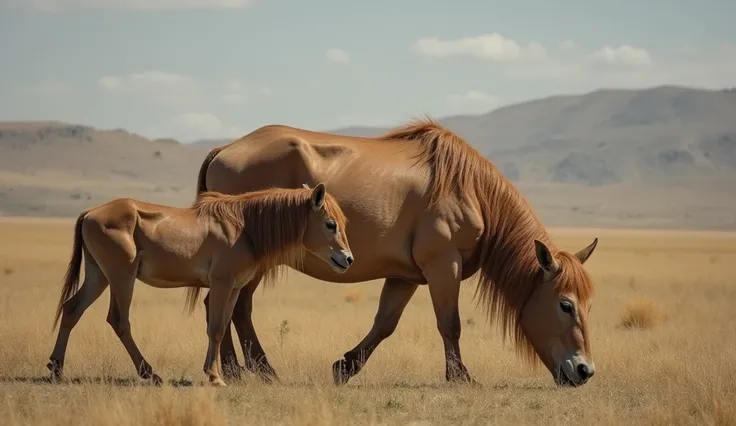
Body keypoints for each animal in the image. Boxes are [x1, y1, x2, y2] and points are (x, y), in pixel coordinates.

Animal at [47, 182, 352, 386]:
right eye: (330, 224)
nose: (348, 259)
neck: (243, 227)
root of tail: (90, 213)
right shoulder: (221, 284)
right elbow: (215, 329)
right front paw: (215, 377)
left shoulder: (234, 289)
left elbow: (221, 327)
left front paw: (214, 372)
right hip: (121, 277)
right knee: (119, 320)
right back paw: (149, 372)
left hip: (98, 276)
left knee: (72, 309)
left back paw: (56, 368)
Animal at [198, 115, 600, 386]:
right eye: (565, 305)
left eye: (589, 305)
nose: (585, 371)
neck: (469, 188)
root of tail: (224, 149)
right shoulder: (443, 267)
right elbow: (450, 324)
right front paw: (460, 377)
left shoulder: (405, 277)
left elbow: (384, 324)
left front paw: (345, 367)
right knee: (235, 306)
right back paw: (251, 370)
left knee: (226, 305)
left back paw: (240, 370)